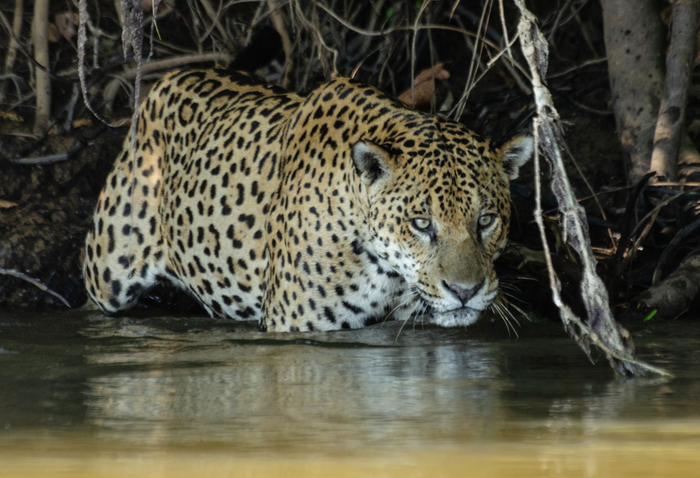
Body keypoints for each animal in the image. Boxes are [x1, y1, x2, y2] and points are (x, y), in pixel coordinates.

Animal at [83, 69, 532, 332]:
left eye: (486, 220)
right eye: (422, 223)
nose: (465, 292)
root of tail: (168, 78)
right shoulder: (295, 327)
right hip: (107, 269)